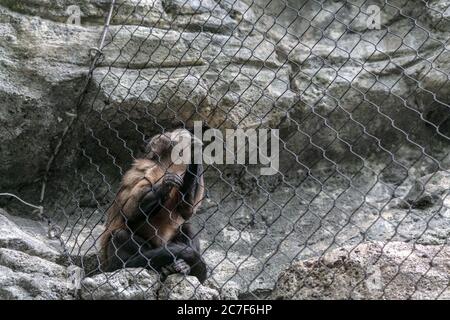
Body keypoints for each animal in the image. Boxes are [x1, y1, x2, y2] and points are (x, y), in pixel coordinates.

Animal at [98, 127, 207, 282]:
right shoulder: (146, 168)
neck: (168, 165)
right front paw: (165, 185)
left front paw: (195, 154)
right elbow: (129, 213)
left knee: (187, 227)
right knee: (119, 235)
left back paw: (182, 266)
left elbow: (187, 211)